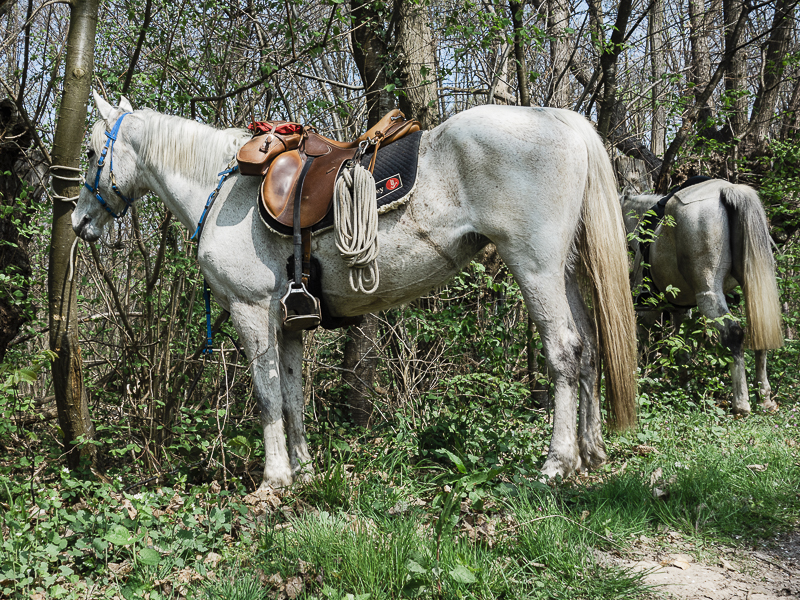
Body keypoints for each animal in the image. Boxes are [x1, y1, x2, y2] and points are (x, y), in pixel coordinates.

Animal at [75, 92, 636, 488]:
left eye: (92, 152)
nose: (80, 222)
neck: (221, 190)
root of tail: (560, 120)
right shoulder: (289, 322)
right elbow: (293, 393)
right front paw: (303, 472)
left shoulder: (251, 311)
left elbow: (266, 393)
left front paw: (274, 479)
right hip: (565, 271)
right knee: (589, 349)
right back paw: (591, 453)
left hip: (536, 268)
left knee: (564, 351)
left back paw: (558, 462)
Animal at [620, 180, 784, 414]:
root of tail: (727, 190)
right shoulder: (680, 308)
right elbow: (682, 344)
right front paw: (684, 384)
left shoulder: (648, 310)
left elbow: (647, 341)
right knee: (760, 329)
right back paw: (764, 398)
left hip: (709, 293)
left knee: (733, 334)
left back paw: (741, 403)